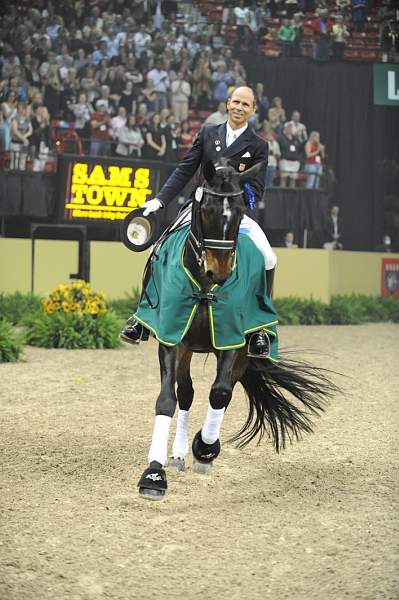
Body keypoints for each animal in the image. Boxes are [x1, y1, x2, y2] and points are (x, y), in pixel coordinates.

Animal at [135, 161, 338, 502]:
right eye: (208, 209)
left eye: (242, 209)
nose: (220, 271)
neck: (205, 286)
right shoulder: (171, 337)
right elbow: (167, 400)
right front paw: (154, 474)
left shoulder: (233, 341)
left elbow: (220, 393)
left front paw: (205, 449)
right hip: (187, 348)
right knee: (187, 393)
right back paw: (178, 455)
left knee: (220, 392)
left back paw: (199, 450)